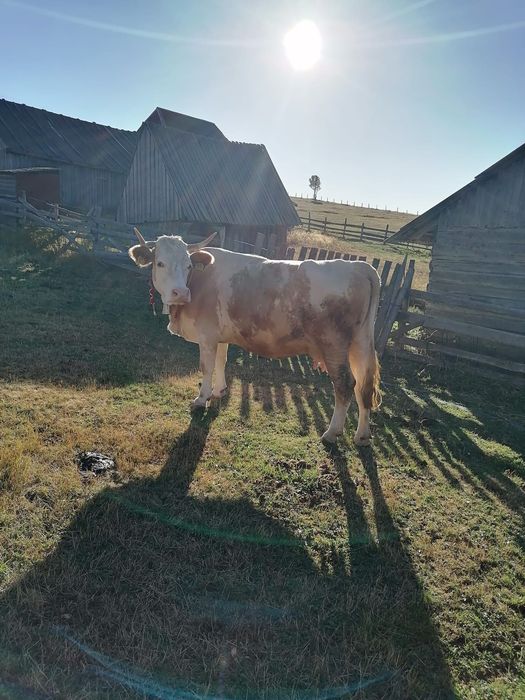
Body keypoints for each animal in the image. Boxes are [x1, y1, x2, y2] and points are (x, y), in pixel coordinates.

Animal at [129, 229, 381, 445]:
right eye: (160, 263)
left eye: (188, 265)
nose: (180, 293)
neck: (199, 281)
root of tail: (359, 266)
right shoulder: (219, 335)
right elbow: (221, 361)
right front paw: (219, 391)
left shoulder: (207, 336)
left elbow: (206, 367)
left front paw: (201, 399)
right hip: (360, 343)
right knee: (364, 387)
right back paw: (362, 435)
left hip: (334, 344)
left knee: (345, 385)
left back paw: (331, 433)